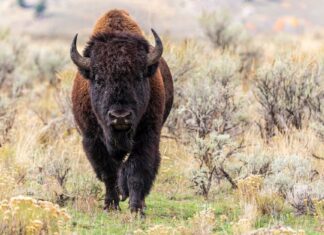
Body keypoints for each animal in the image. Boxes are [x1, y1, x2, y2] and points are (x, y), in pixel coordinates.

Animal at [70, 9, 173, 215]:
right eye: (99, 79)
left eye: (138, 77)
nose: (120, 117)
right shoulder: (92, 140)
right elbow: (108, 172)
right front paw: (111, 205)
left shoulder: (147, 137)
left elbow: (136, 170)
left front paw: (136, 209)